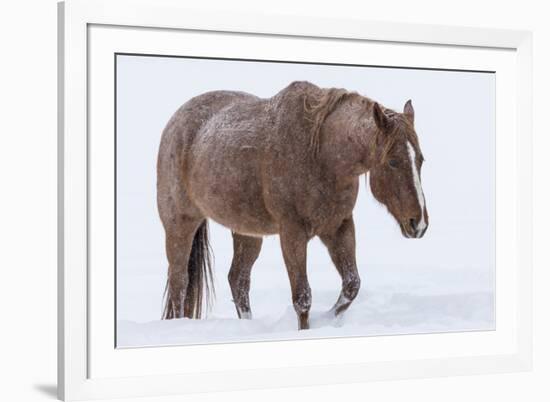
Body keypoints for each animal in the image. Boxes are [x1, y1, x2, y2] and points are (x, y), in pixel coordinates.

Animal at [157, 79, 430, 330]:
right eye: (393, 162)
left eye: (420, 159)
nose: (418, 223)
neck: (321, 155)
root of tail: (175, 121)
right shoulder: (292, 232)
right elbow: (302, 296)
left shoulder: (338, 227)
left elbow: (352, 285)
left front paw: (329, 319)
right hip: (180, 224)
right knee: (179, 282)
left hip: (247, 232)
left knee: (238, 280)